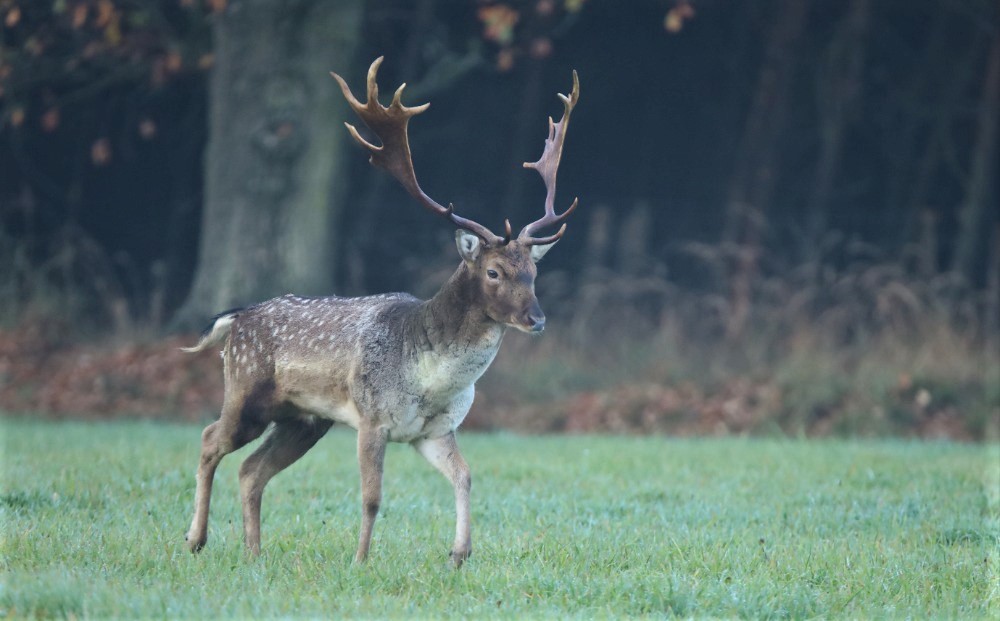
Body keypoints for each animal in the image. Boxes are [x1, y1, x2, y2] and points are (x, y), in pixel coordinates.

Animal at [180, 58, 580, 568]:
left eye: (533, 271)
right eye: (493, 272)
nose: (537, 319)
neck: (431, 380)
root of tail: (234, 319)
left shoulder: (435, 430)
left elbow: (466, 476)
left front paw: (459, 553)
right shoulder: (372, 419)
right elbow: (372, 497)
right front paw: (360, 560)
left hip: (304, 419)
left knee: (252, 469)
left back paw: (254, 553)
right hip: (246, 390)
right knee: (210, 439)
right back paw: (195, 539)